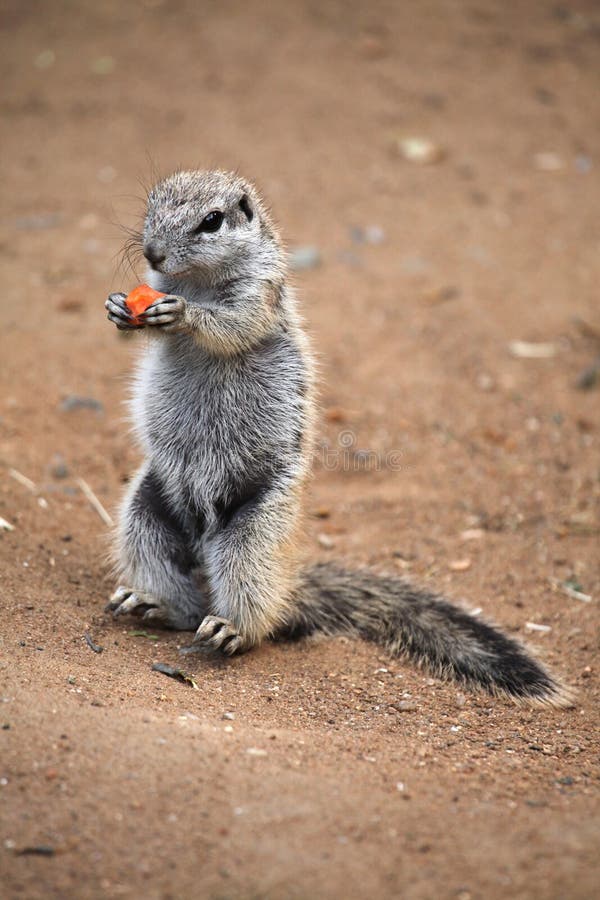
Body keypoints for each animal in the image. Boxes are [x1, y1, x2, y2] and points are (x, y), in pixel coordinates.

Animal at [105, 165, 568, 708]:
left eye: (212, 221)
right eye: (151, 203)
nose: (152, 252)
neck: (194, 281)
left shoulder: (261, 293)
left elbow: (233, 325)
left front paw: (185, 315)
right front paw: (120, 307)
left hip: (253, 535)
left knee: (246, 605)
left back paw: (230, 629)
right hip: (145, 513)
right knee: (183, 599)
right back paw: (152, 603)